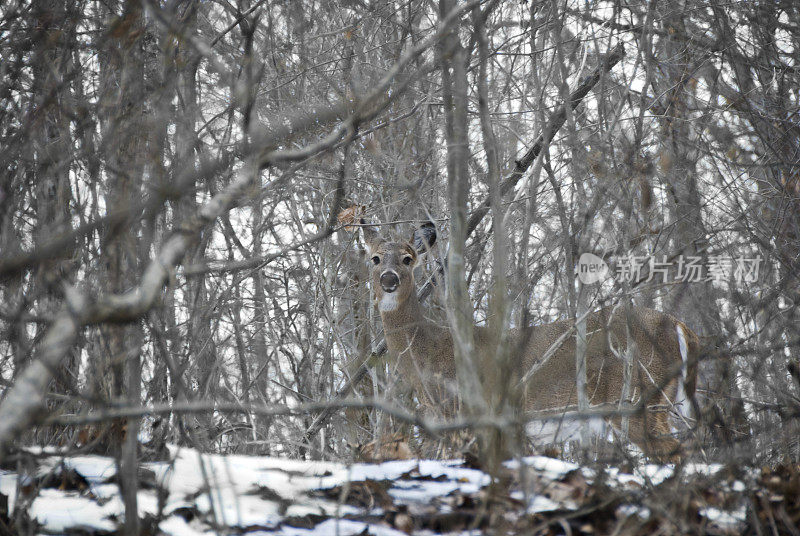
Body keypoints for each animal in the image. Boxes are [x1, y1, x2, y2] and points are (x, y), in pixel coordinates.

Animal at [356, 220, 700, 458]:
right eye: (375, 258)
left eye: (407, 258)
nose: (389, 279)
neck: (428, 354)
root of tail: (681, 326)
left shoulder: (463, 413)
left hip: (638, 398)